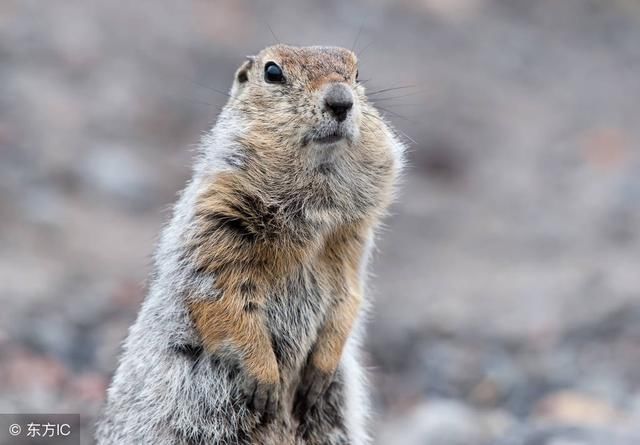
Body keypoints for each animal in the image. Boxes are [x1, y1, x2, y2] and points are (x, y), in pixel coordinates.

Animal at [95, 45, 404, 444]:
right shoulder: (217, 220)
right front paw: (266, 382)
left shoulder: (351, 242)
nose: (341, 100)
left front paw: (318, 373)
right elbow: (221, 294)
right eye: (272, 72)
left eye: (356, 71)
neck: (316, 207)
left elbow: (349, 295)